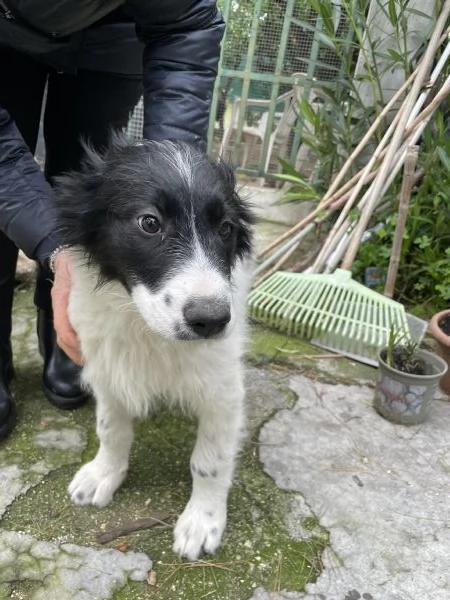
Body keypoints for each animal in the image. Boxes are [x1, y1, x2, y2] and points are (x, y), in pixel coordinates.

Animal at [53, 137, 253, 564]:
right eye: (149, 222)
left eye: (225, 228)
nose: (212, 321)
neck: (147, 330)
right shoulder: (106, 366)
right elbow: (110, 428)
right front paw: (104, 473)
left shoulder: (222, 388)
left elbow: (210, 460)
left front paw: (202, 520)